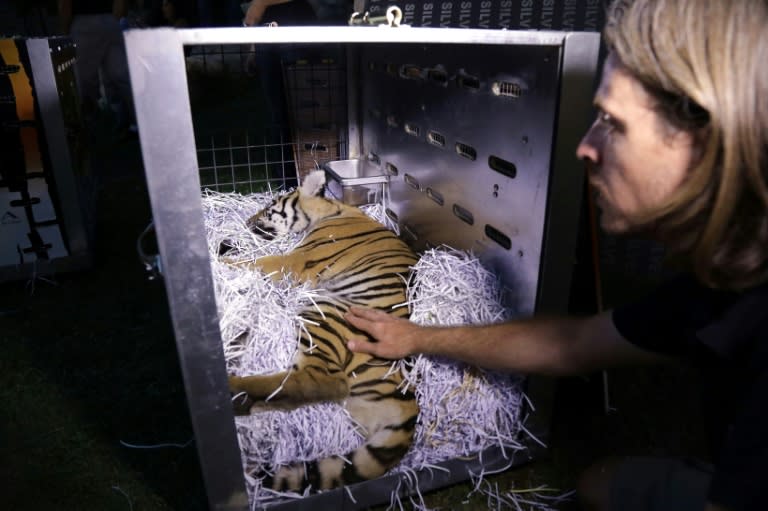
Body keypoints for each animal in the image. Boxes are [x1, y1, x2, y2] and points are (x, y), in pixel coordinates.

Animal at [226, 171, 420, 492]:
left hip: (325, 313)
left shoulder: (294, 261)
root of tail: (406, 402)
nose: (247, 222)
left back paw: (237, 390)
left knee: (319, 381)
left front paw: (219, 261)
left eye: (269, 209)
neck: (331, 210)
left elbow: (254, 262)